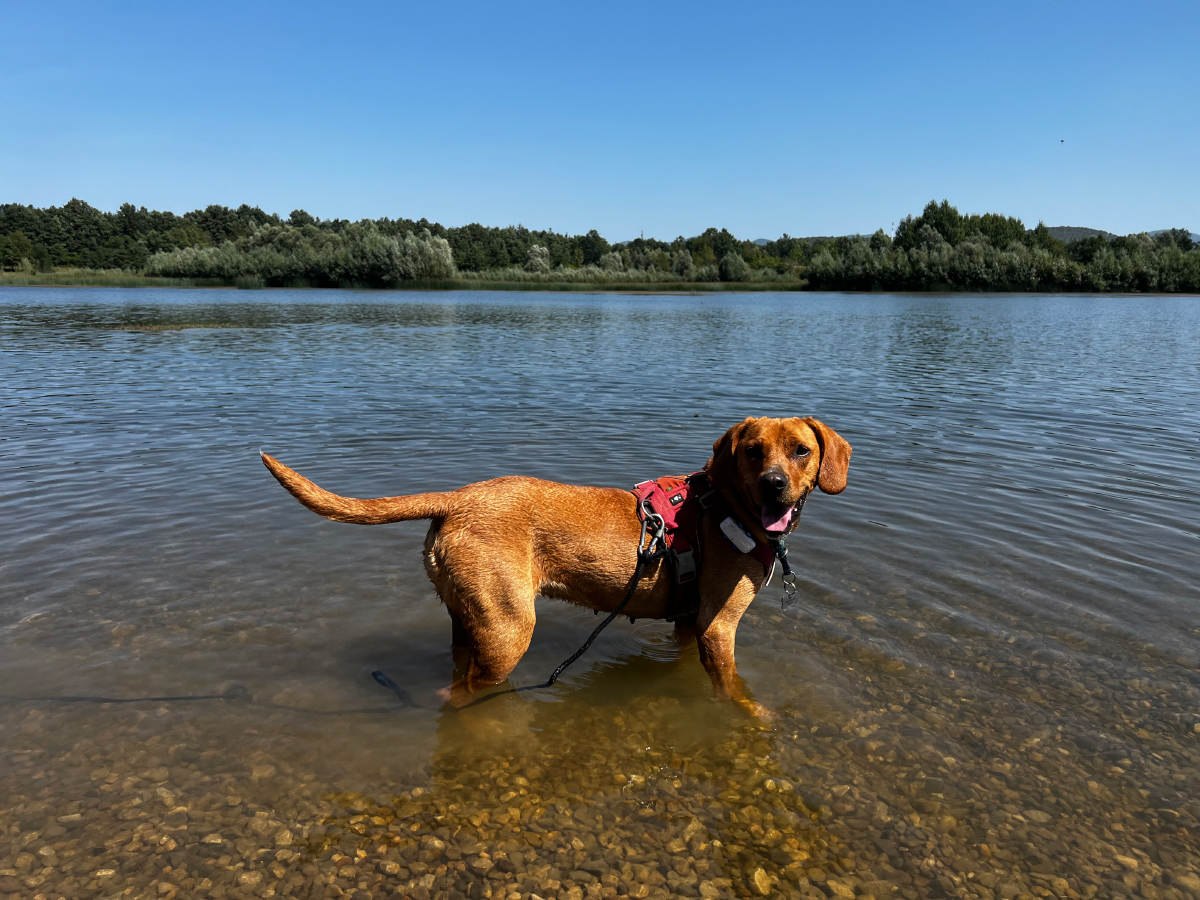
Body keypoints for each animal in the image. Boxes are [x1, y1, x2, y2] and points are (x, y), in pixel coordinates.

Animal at [262, 417, 849, 720]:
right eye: (752, 451)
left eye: (800, 450)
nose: (775, 485)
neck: (727, 507)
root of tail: (457, 498)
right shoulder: (718, 627)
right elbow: (733, 688)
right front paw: (752, 716)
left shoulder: (690, 623)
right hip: (508, 627)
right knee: (463, 693)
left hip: (468, 619)